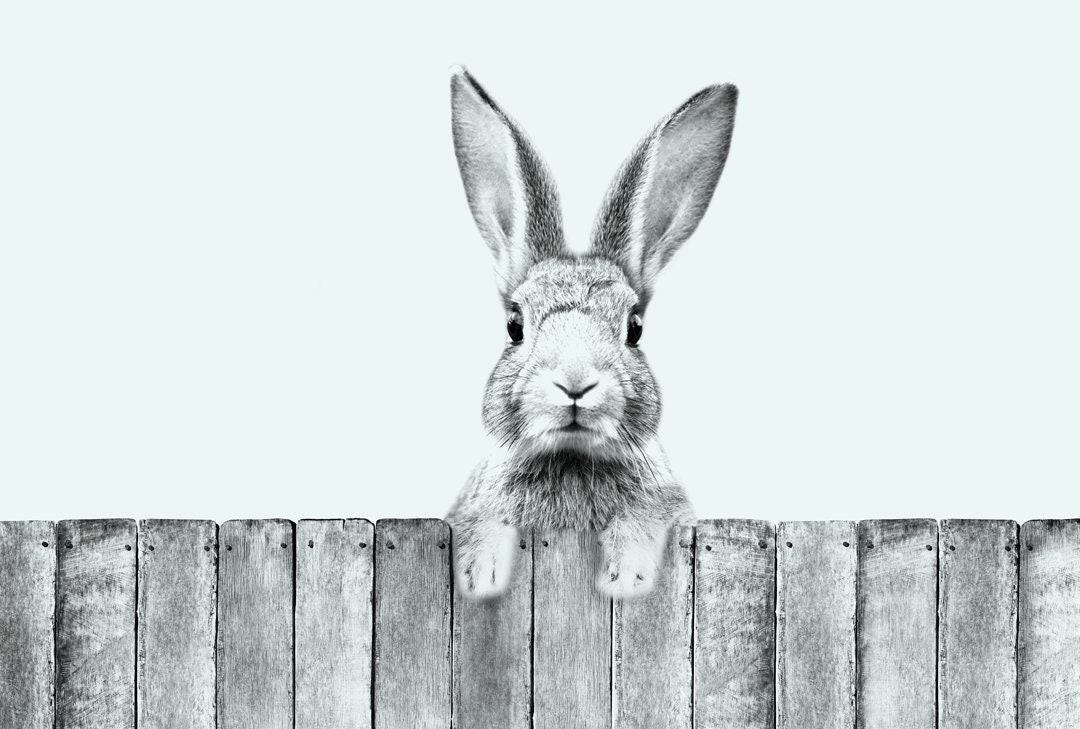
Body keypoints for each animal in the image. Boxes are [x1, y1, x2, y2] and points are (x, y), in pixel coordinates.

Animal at [446, 66, 737, 600]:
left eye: (635, 329)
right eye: (514, 325)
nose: (575, 383)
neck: (572, 459)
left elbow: (641, 520)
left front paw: (627, 575)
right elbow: (482, 523)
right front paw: (479, 572)